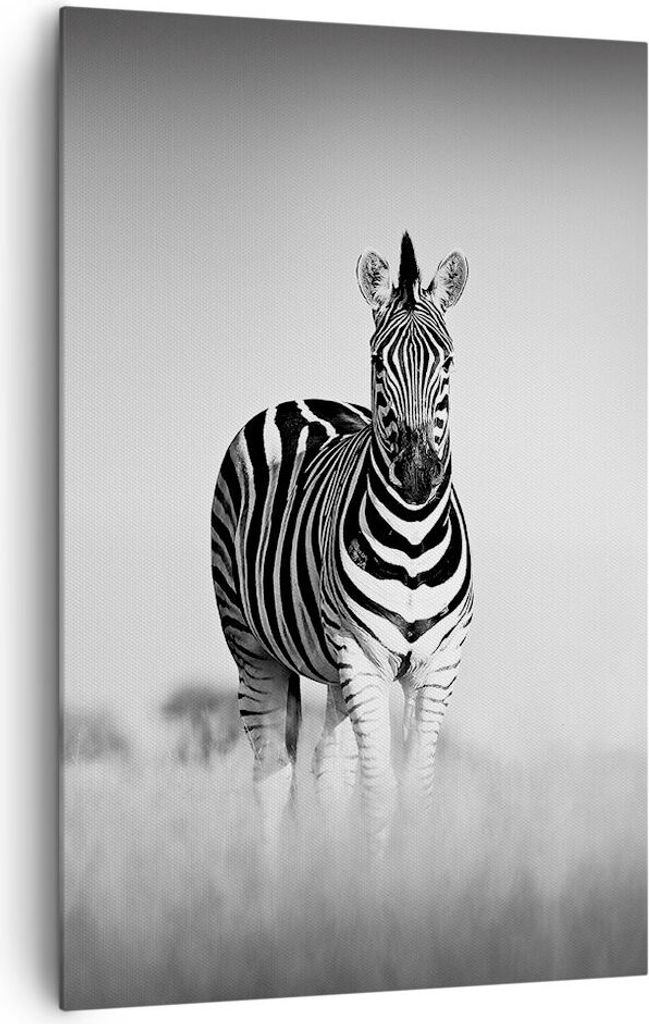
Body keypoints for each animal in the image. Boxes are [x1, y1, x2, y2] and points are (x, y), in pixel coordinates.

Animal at [211, 232, 473, 848]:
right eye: (379, 362)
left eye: (448, 362)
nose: (419, 475)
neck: (413, 540)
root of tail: (298, 400)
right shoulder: (362, 655)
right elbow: (380, 793)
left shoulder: (438, 664)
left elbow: (415, 792)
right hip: (251, 643)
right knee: (271, 773)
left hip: (332, 668)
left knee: (330, 771)